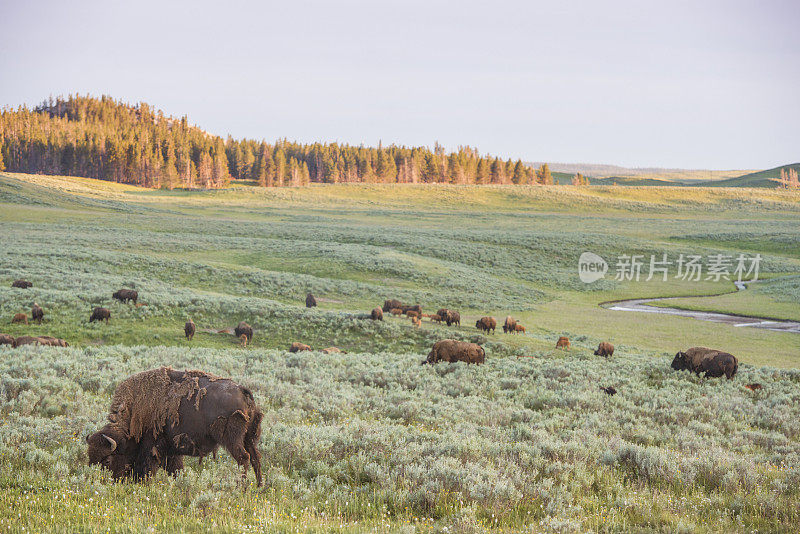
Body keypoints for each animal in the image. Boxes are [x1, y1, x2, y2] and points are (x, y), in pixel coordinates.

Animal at [86, 370, 264, 488]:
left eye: (107, 460)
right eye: (90, 457)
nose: (101, 482)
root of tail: (243, 391)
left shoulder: (152, 446)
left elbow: (148, 467)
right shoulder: (171, 450)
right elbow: (175, 469)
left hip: (233, 439)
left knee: (244, 458)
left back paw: (240, 486)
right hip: (249, 438)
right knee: (255, 458)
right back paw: (259, 486)